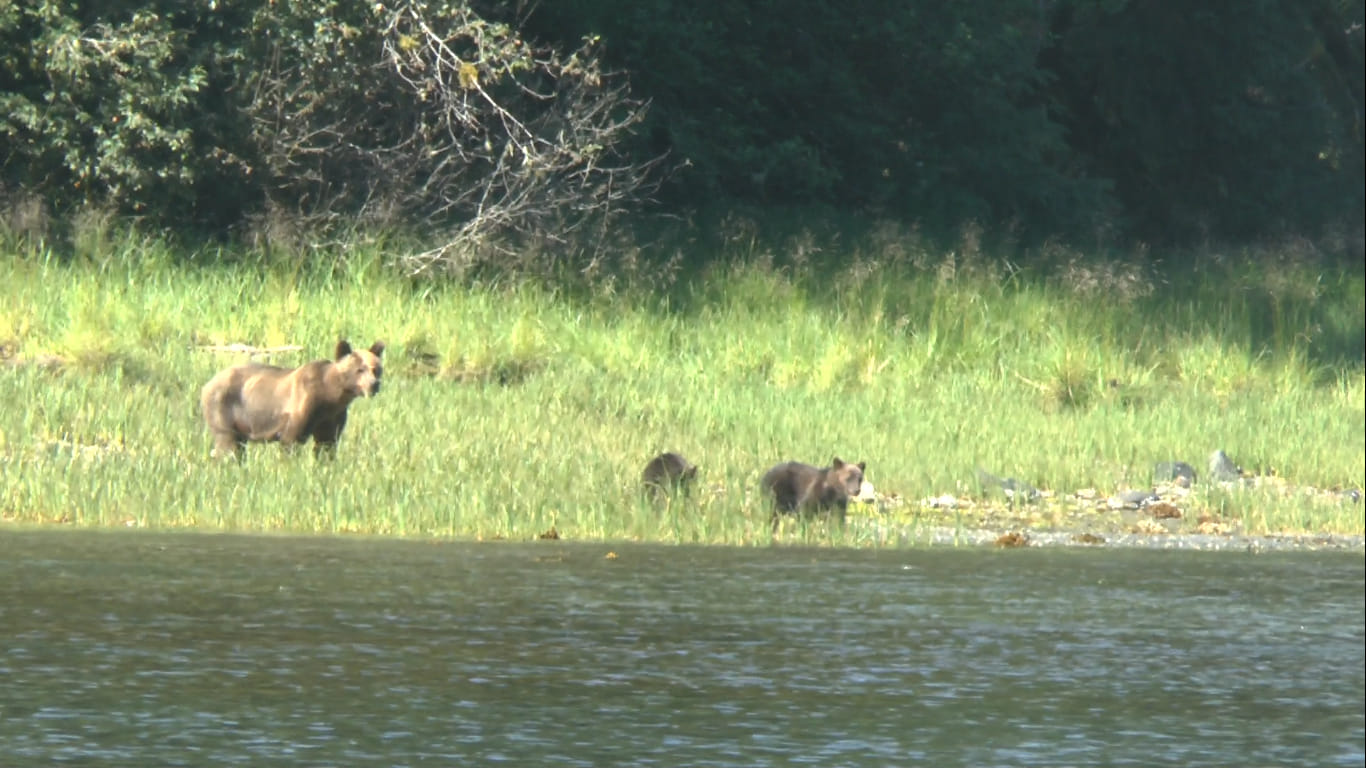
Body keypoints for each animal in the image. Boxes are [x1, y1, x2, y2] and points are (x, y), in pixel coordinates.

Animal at [200, 339, 384, 459]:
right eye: (359, 369)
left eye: (376, 369)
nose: (374, 385)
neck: (331, 395)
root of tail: (207, 384)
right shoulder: (303, 406)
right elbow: (290, 441)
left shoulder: (332, 416)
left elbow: (326, 444)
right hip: (223, 408)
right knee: (228, 444)